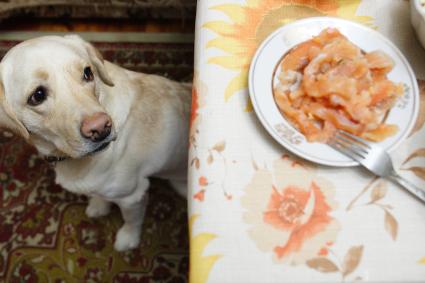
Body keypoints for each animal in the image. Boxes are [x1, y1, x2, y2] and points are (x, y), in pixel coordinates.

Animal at [0, 35, 190, 251]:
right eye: (37, 95)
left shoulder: (133, 196)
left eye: (87, 73)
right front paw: (99, 204)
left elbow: (132, 220)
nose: (101, 128)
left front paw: (128, 239)